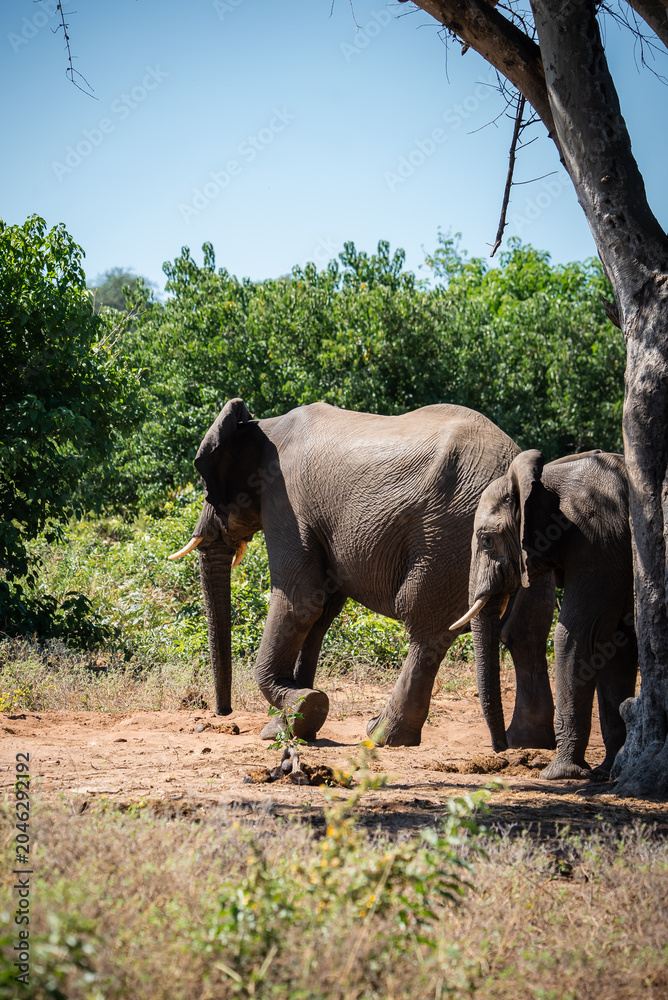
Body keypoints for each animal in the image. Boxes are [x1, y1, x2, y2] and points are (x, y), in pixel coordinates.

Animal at [169, 397, 556, 748]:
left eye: (206, 488)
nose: (223, 713)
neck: (264, 425)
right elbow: (322, 610)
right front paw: (291, 726)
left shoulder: (286, 500)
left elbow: (300, 600)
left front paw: (303, 710)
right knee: (527, 630)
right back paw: (529, 742)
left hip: (448, 534)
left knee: (427, 628)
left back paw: (382, 735)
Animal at [455, 448, 637, 778]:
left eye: (486, 540)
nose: (503, 750)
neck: (547, 478)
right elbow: (616, 645)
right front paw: (606, 771)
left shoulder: (598, 541)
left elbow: (575, 636)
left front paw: (560, 774)